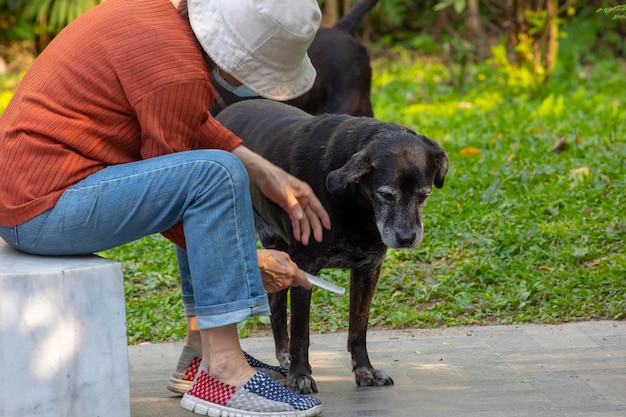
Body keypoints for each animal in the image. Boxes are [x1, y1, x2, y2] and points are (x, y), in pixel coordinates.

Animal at [216, 100, 448, 394]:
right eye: (385, 194)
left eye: (424, 194)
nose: (407, 238)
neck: (356, 203)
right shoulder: (304, 268)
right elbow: (302, 332)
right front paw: (300, 376)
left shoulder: (367, 269)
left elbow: (358, 328)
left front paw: (365, 371)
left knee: (276, 302)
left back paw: (283, 355)